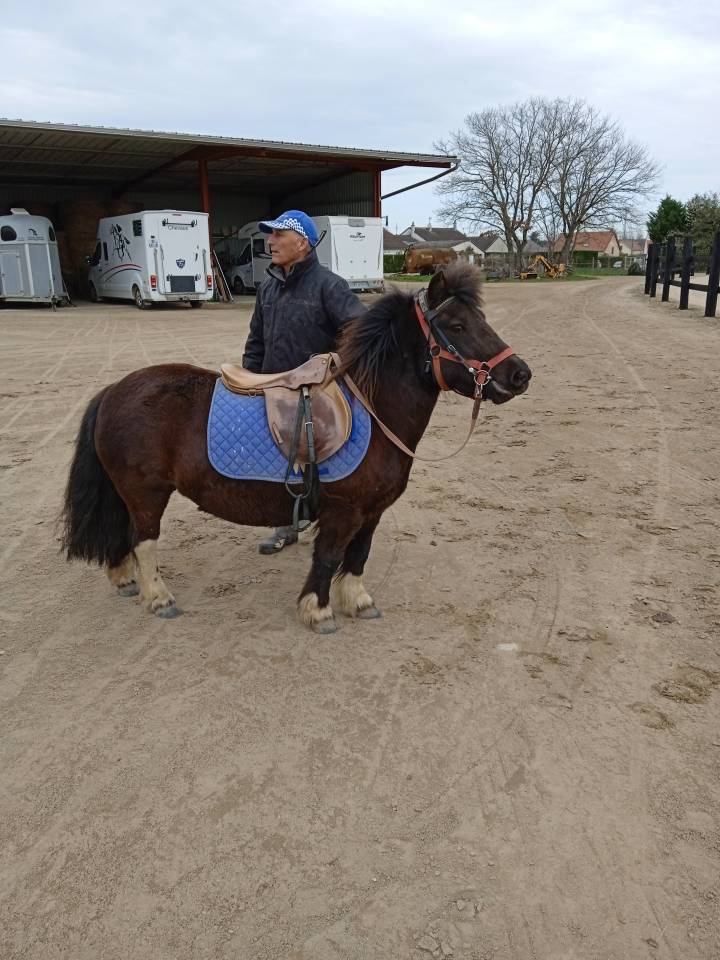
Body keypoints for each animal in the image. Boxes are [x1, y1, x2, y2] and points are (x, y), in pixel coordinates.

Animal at [60, 263, 531, 633]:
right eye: (456, 326)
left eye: (481, 319)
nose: (520, 374)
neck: (373, 410)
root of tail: (114, 390)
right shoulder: (344, 509)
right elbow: (328, 556)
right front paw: (318, 610)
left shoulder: (373, 510)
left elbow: (359, 554)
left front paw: (358, 600)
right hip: (146, 494)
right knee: (143, 540)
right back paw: (158, 597)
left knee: (121, 533)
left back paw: (126, 581)